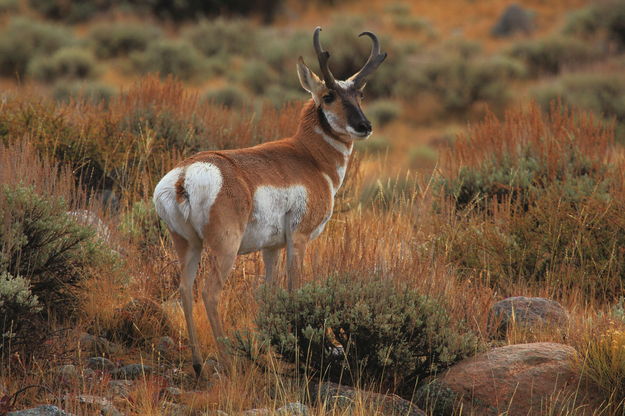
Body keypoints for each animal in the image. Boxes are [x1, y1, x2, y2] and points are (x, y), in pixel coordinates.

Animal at [153, 26, 386, 376]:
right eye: (329, 96)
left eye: (359, 95)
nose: (364, 126)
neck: (309, 157)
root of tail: (184, 175)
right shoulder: (298, 240)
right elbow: (294, 290)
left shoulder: (271, 248)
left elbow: (268, 293)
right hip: (225, 247)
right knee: (209, 292)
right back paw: (229, 365)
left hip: (188, 245)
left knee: (184, 290)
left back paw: (198, 364)